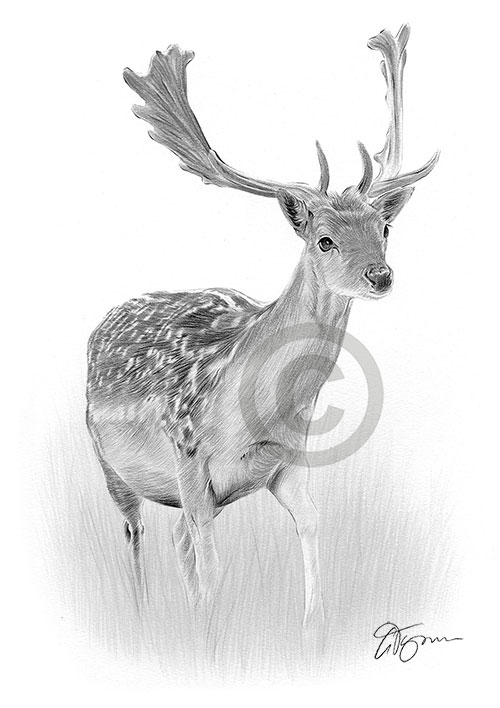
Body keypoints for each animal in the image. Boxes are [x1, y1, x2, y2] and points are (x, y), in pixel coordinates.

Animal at [86, 24, 438, 625]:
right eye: (324, 239)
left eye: (385, 228)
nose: (381, 274)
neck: (257, 415)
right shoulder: (189, 460)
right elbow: (213, 571)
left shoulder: (289, 466)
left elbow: (312, 539)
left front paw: (310, 630)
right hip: (109, 464)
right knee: (135, 536)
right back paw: (143, 618)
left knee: (176, 541)